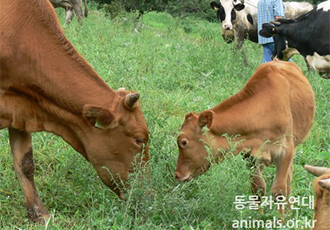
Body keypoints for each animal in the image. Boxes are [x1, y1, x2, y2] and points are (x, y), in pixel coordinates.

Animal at [175, 59, 314, 216]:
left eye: (183, 142)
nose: (177, 174)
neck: (264, 111)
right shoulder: (250, 156)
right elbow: (258, 189)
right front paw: (258, 217)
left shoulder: (286, 151)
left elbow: (279, 191)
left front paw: (281, 219)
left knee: (289, 176)